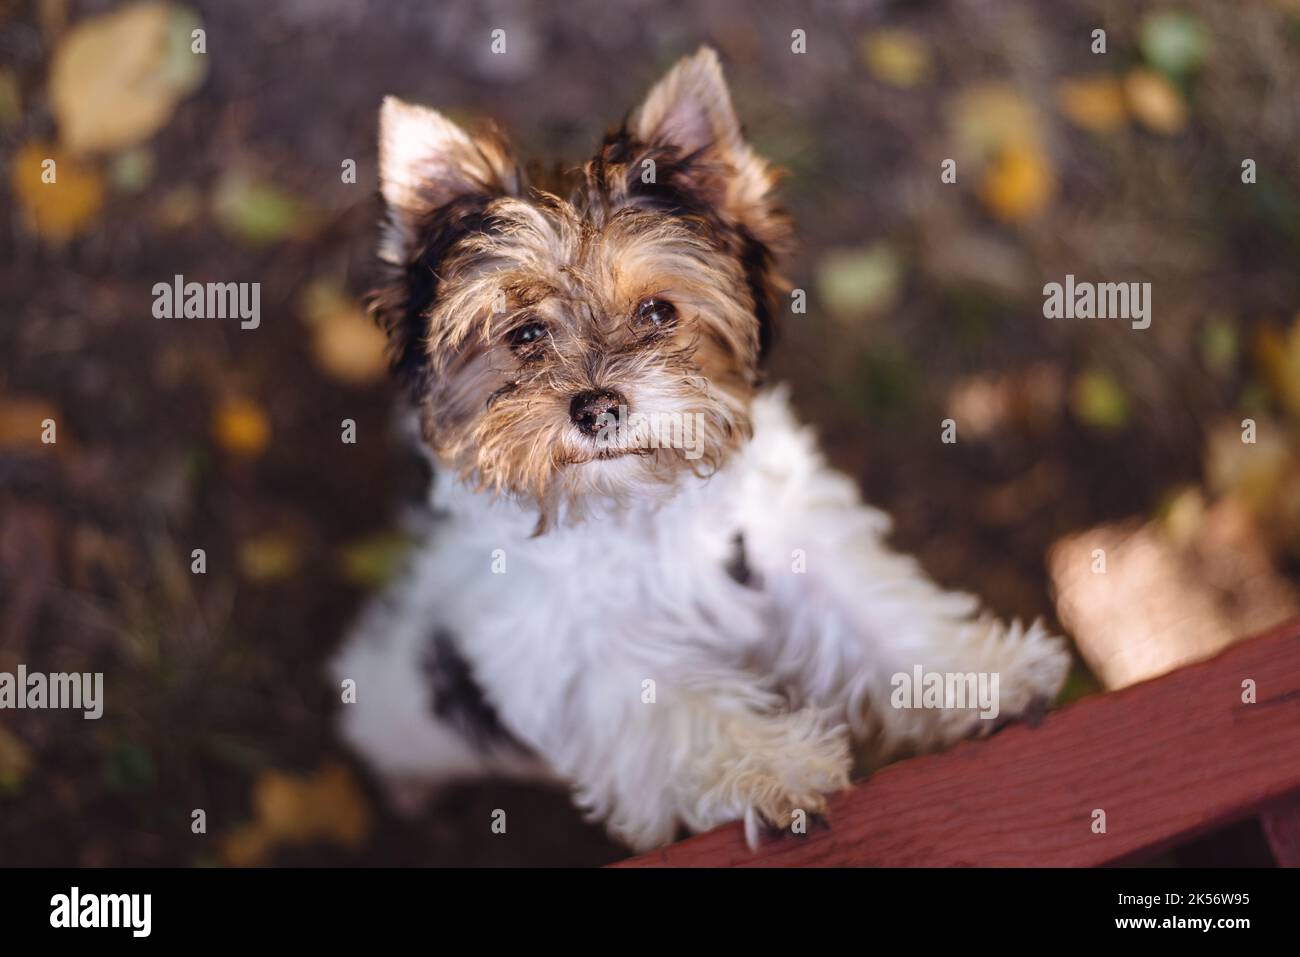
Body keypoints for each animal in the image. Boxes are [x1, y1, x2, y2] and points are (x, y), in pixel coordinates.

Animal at [330, 46, 1071, 852]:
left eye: (658, 312)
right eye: (523, 334)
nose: (598, 406)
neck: (641, 507)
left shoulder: (791, 538)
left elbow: (874, 611)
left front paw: (977, 675)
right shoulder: (581, 654)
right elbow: (682, 713)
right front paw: (776, 768)